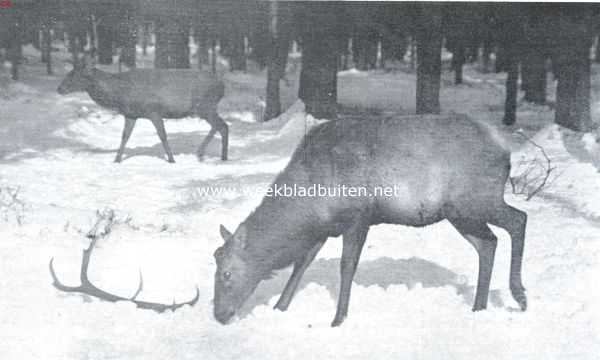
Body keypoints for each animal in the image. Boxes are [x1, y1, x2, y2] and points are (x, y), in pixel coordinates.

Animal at [58, 54, 227, 162]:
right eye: (70, 72)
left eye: (75, 75)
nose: (59, 88)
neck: (119, 94)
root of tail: (222, 86)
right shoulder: (131, 114)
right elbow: (125, 136)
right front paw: (116, 159)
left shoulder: (154, 111)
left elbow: (163, 135)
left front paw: (171, 159)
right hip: (207, 108)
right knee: (220, 126)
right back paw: (210, 154)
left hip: (205, 105)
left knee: (222, 126)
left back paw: (211, 155)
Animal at [213, 114, 528, 326]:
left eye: (226, 273)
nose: (218, 314)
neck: (309, 206)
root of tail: (504, 146)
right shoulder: (324, 228)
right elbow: (301, 264)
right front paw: (279, 308)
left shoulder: (358, 217)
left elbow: (346, 267)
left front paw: (338, 319)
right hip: (459, 212)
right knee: (488, 243)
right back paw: (479, 307)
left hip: (477, 199)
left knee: (519, 219)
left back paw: (519, 295)